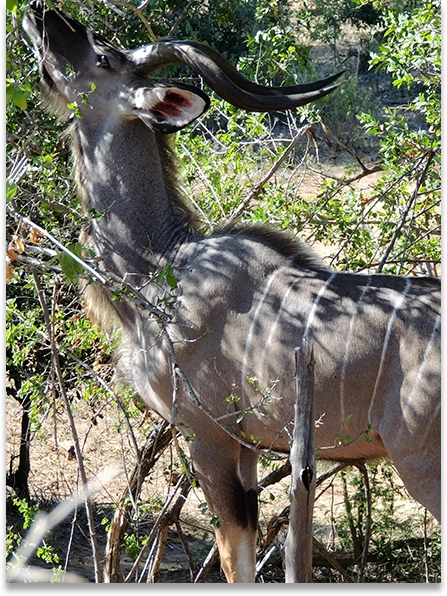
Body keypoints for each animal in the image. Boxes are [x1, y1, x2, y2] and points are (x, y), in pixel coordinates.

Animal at [24, 2, 440, 584]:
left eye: (101, 57)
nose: (40, 14)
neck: (161, 268)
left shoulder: (209, 437)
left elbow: (233, 556)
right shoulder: (248, 448)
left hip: (422, 465)